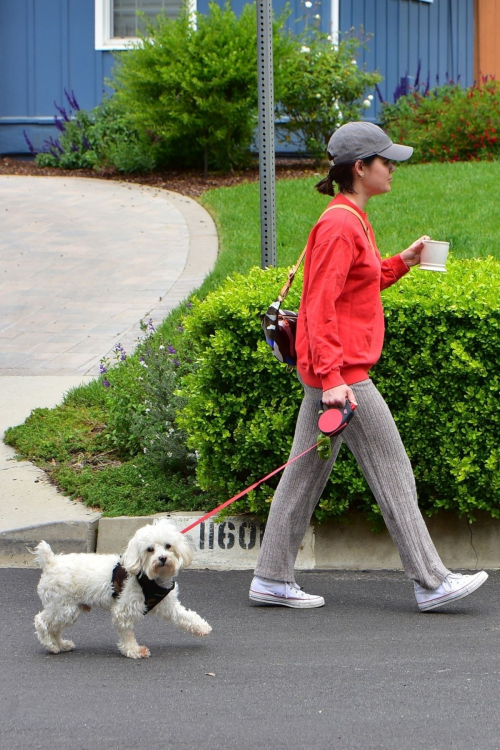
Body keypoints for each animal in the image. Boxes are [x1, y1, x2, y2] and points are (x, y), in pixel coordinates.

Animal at [32, 520, 213, 660]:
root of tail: (51, 562)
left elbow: (184, 616)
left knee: (54, 628)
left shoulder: (168, 606)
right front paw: (134, 651)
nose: (162, 558)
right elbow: (127, 633)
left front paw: (201, 627)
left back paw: (60, 644)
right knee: (41, 621)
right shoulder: (124, 610)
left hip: (69, 610)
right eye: (150, 549)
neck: (149, 577)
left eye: (168, 546)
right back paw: (50, 645)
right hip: (63, 607)